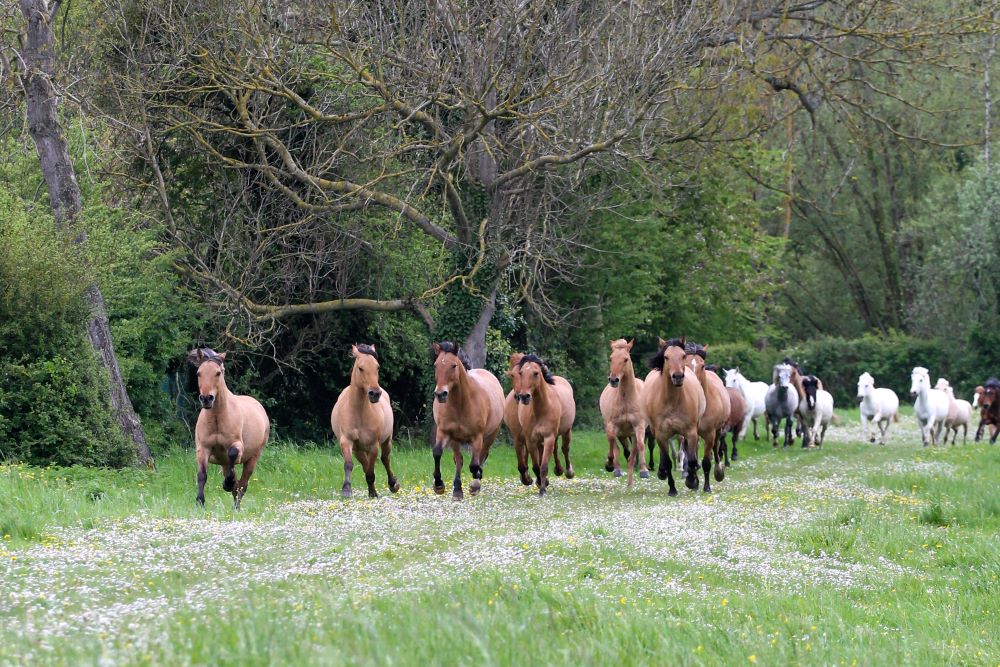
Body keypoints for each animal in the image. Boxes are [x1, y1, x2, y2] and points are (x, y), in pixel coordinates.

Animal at [188, 348, 270, 508]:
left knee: (242, 485)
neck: (217, 419)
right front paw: (200, 503)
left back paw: (236, 505)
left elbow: (232, 453)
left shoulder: (237, 446)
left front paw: (227, 484)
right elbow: (201, 476)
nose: (206, 399)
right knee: (236, 483)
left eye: (218, 373)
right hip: (224, 463)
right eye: (198, 373)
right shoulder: (203, 449)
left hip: (253, 458)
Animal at [332, 348, 402, 498]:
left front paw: (374, 494)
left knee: (385, 459)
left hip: (387, 440)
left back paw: (393, 484)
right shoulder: (346, 441)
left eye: (377, 367)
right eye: (360, 368)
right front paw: (346, 489)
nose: (375, 393)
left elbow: (371, 471)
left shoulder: (373, 445)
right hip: (359, 449)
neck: (359, 412)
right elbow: (349, 464)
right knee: (365, 464)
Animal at [432, 344, 504, 500]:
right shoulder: (446, 433)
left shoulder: (477, 437)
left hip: (491, 435)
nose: (441, 394)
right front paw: (440, 485)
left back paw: (477, 480)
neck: (461, 404)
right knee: (459, 460)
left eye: (453, 365)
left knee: (482, 455)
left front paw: (475, 484)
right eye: (435, 365)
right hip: (456, 440)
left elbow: (474, 465)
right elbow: (439, 453)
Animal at [600, 340, 648, 486]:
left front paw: (644, 471)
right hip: (620, 432)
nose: (613, 380)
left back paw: (630, 485)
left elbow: (641, 445)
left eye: (626, 359)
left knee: (632, 455)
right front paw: (610, 465)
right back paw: (616, 469)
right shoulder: (612, 426)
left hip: (632, 433)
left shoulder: (639, 426)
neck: (626, 400)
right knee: (619, 448)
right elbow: (612, 443)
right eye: (611, 358)